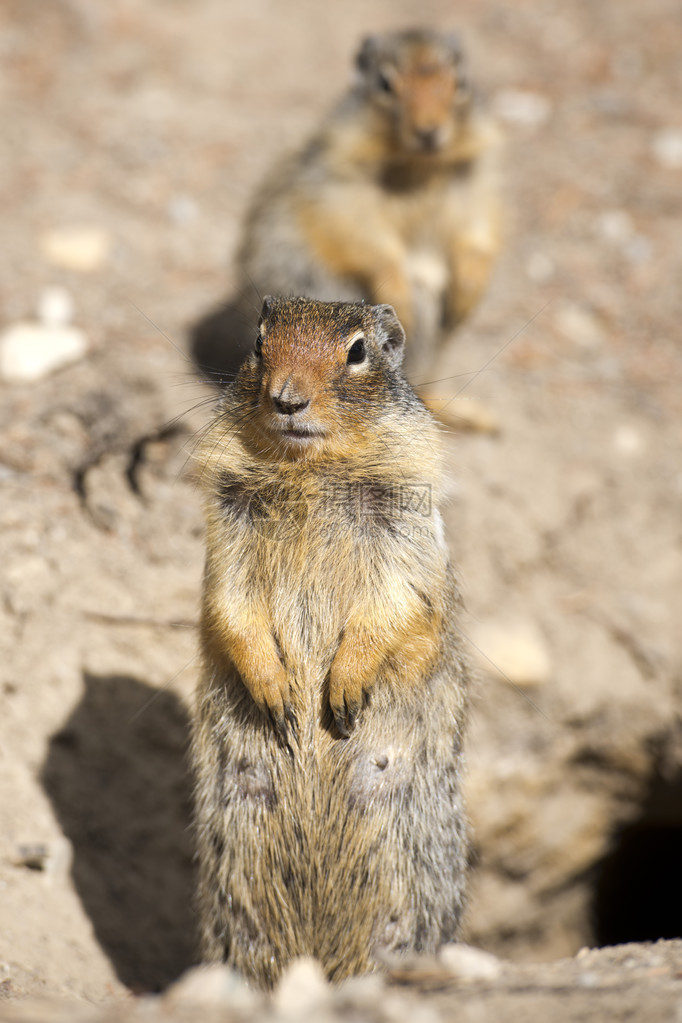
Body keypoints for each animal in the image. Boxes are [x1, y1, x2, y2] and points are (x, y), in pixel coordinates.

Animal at [191, 296, 470, 990]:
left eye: (358, 351)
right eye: (259, 341)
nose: (287, 399)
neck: (309, 473)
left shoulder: (404, 523)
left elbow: (393, 605)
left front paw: (340, 693)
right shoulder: (227, 528)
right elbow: (231, 606)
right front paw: (277, 694)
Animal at [229, 29, 501, 380]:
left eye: (461, 82)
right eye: (384, 84)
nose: (428, 131)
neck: (419, 166)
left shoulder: (479, 187)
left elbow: (479, 237)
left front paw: (467, 294)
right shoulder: (342, 195)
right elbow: (369, 246)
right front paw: (401, 298)